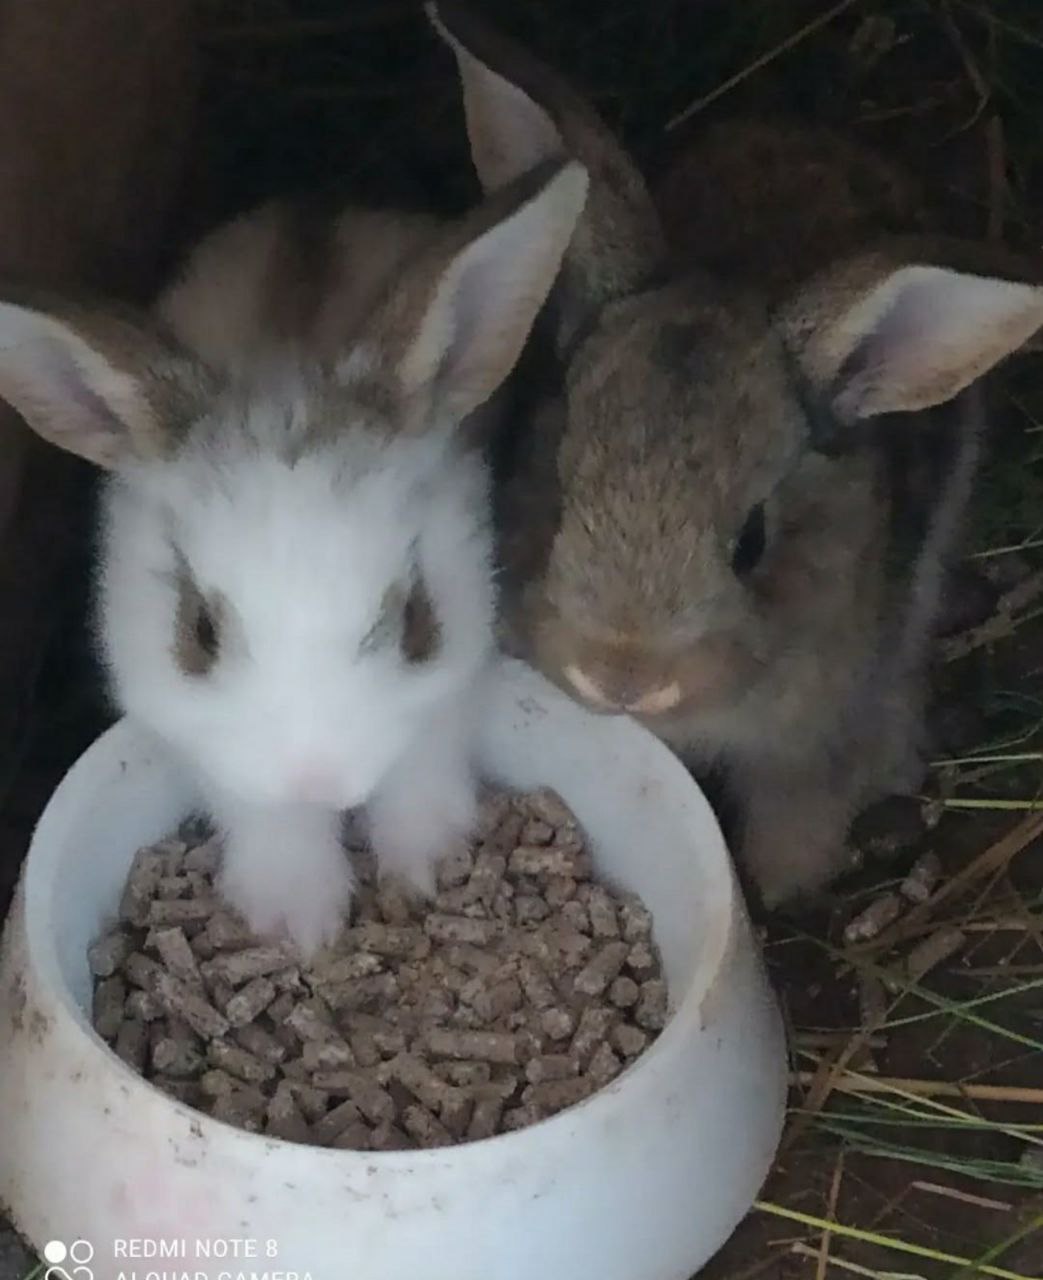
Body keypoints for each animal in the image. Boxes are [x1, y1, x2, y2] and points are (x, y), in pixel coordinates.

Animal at [0, 154, 588, 947]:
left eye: (416, 620)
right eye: (199, 633)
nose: (320, 781)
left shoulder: (456, 666)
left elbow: (424, 756)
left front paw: (425, 866)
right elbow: (261, 809)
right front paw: (297, 922)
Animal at [427, 0, 1043, 906]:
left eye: (751, 542)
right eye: (557, 492)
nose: (621, 677)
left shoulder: (812, 738)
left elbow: (798, 817)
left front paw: (783, 892)